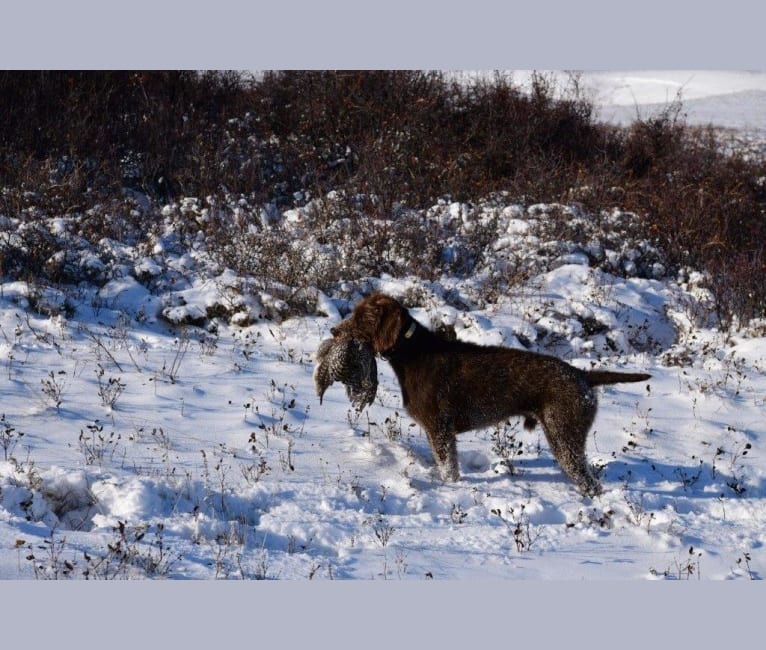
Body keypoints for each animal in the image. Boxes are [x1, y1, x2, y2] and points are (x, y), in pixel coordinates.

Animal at [332, 292, 652, 494]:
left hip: (564, 436)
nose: (334, 331)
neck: (413, 354)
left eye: (361, 317)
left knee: (590, 483)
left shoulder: (440, 430)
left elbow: (449, 469)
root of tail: (582, 375)